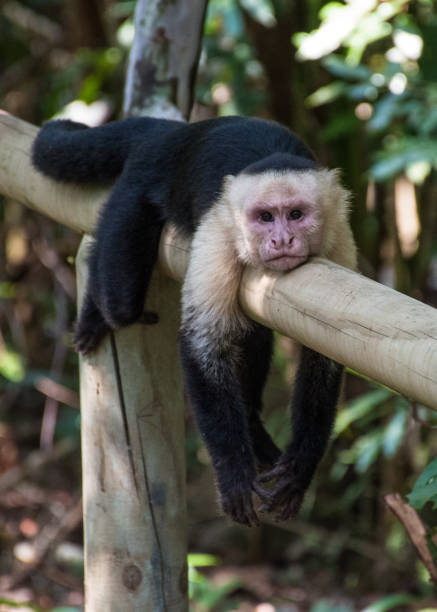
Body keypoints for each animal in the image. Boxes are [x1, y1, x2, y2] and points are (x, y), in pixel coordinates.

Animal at [32, 116, 356, 524]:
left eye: (296, 214)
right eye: (265, 217)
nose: (281, 240)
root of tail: (176, 132)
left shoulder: (339, 240)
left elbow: (323, 356)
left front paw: (299, 469)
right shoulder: (219, 233)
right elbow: (202, 345)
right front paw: (234, 476)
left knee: (254, 332)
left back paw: (252, 426)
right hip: (136, 187)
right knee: (120, 300)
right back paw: (95, 307)